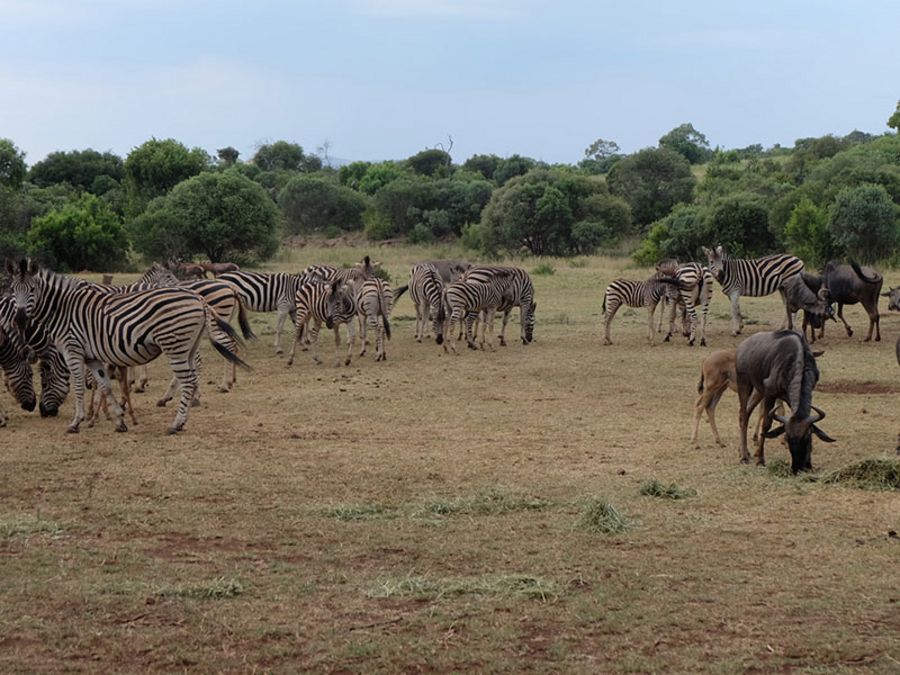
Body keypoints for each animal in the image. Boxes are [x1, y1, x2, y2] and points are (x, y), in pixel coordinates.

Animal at [6, 258, 250, 434]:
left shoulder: (72, 350)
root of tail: (198, 299)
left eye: (32, 290)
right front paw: (118, 419)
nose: (19, 319)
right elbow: (105, 384)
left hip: (175, 345)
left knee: (189, 379)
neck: (63, 309)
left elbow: (79, 387)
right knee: (193, 371)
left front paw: (77, 422)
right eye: (12, 289)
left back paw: (177, 422)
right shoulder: (93, 355)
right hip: (188, 345)